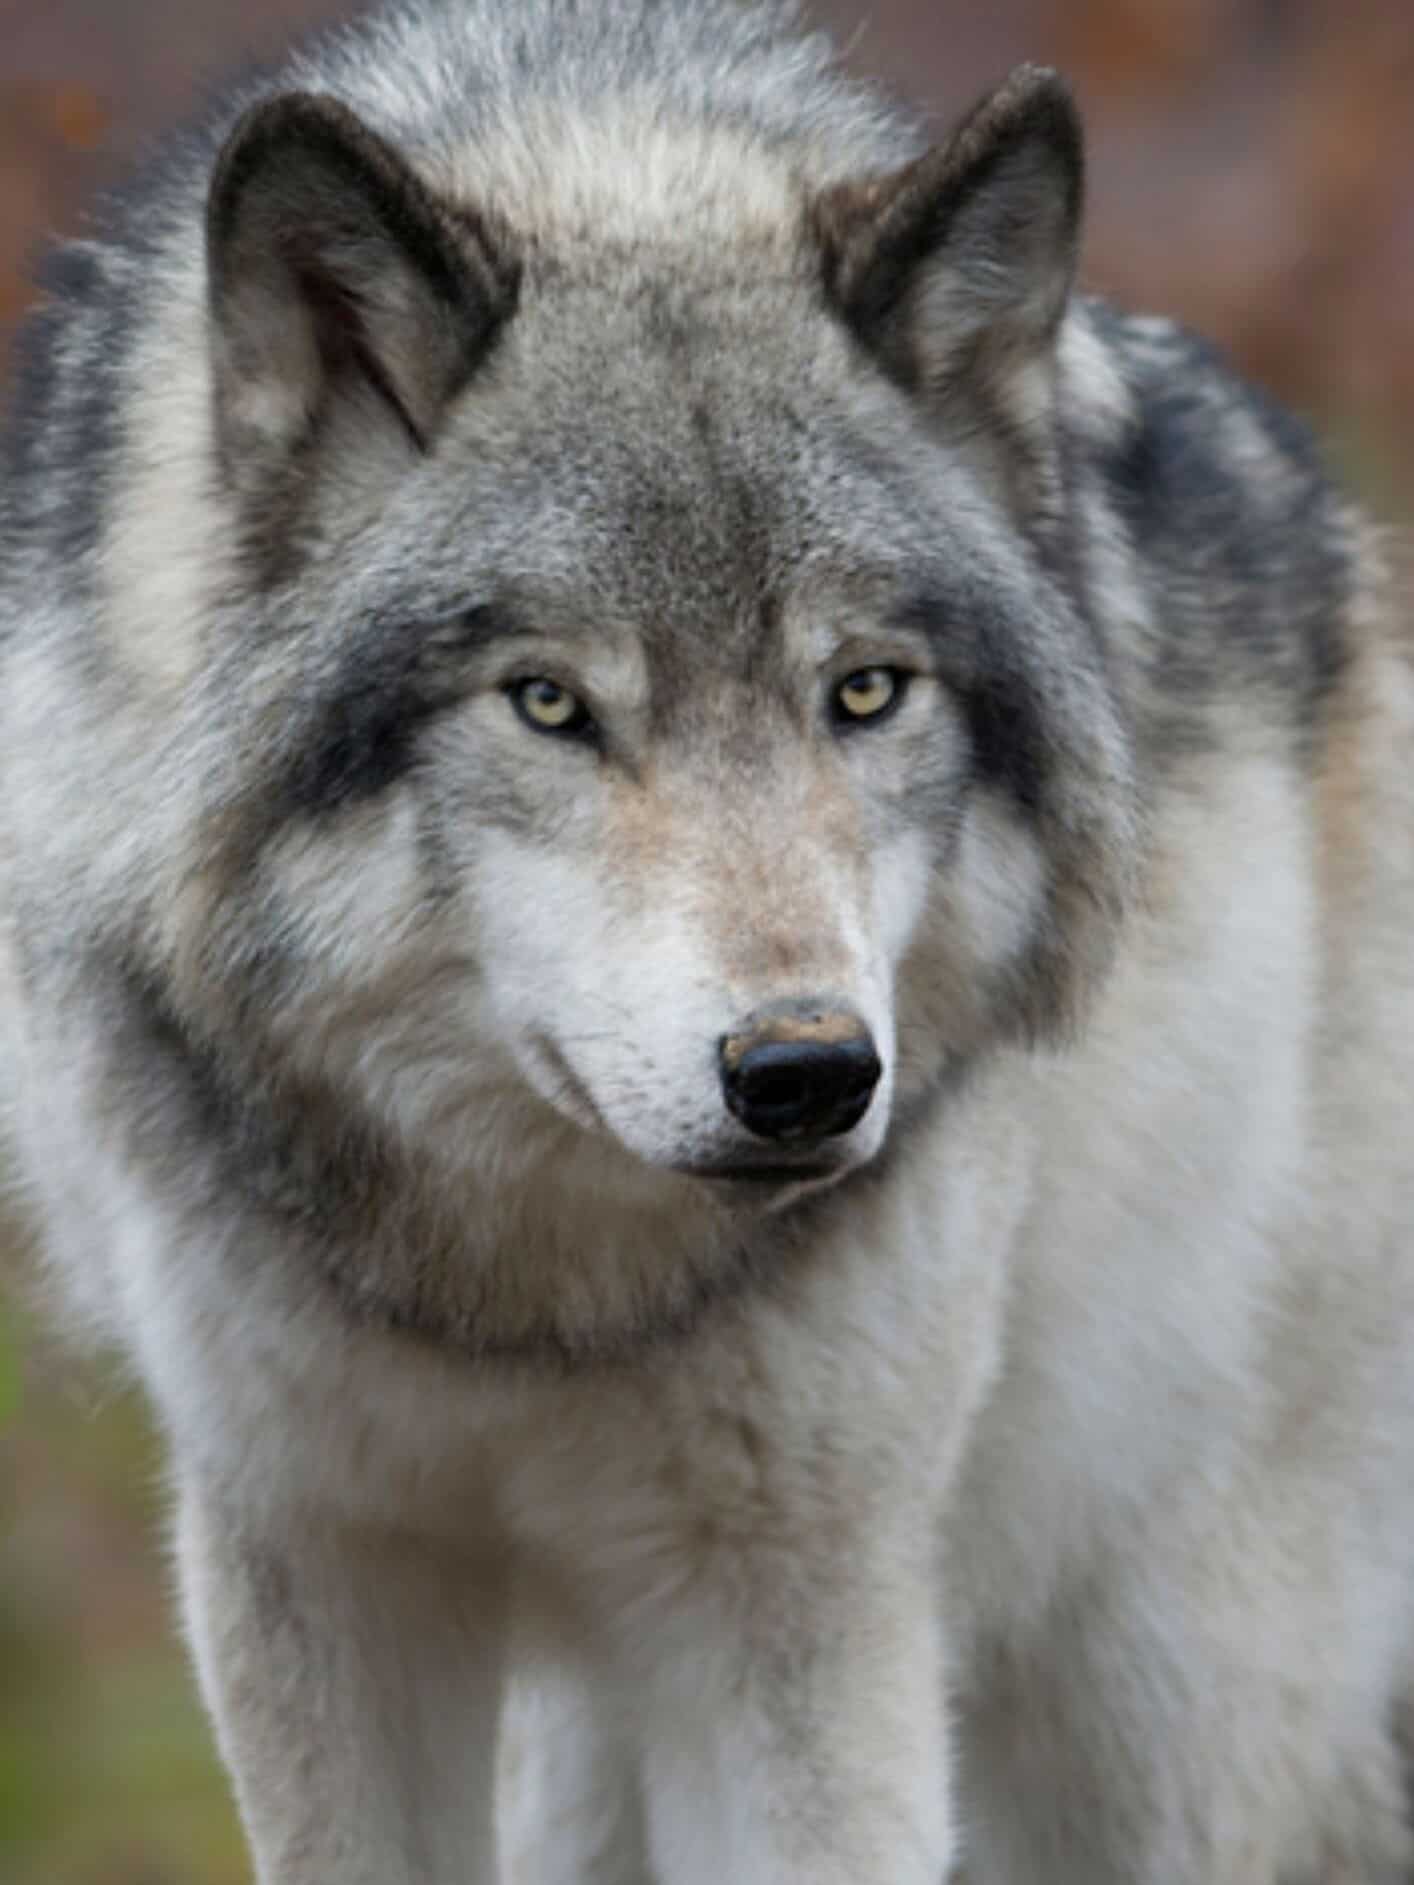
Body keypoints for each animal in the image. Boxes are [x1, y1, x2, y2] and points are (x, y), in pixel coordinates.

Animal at [2, 0, 1413, 1879]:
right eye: (546, 702)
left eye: (865, 690)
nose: (805, 1075)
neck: (532, 1295)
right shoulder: (313, 1568)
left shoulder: (796, 1612)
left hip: (1164, 1695)